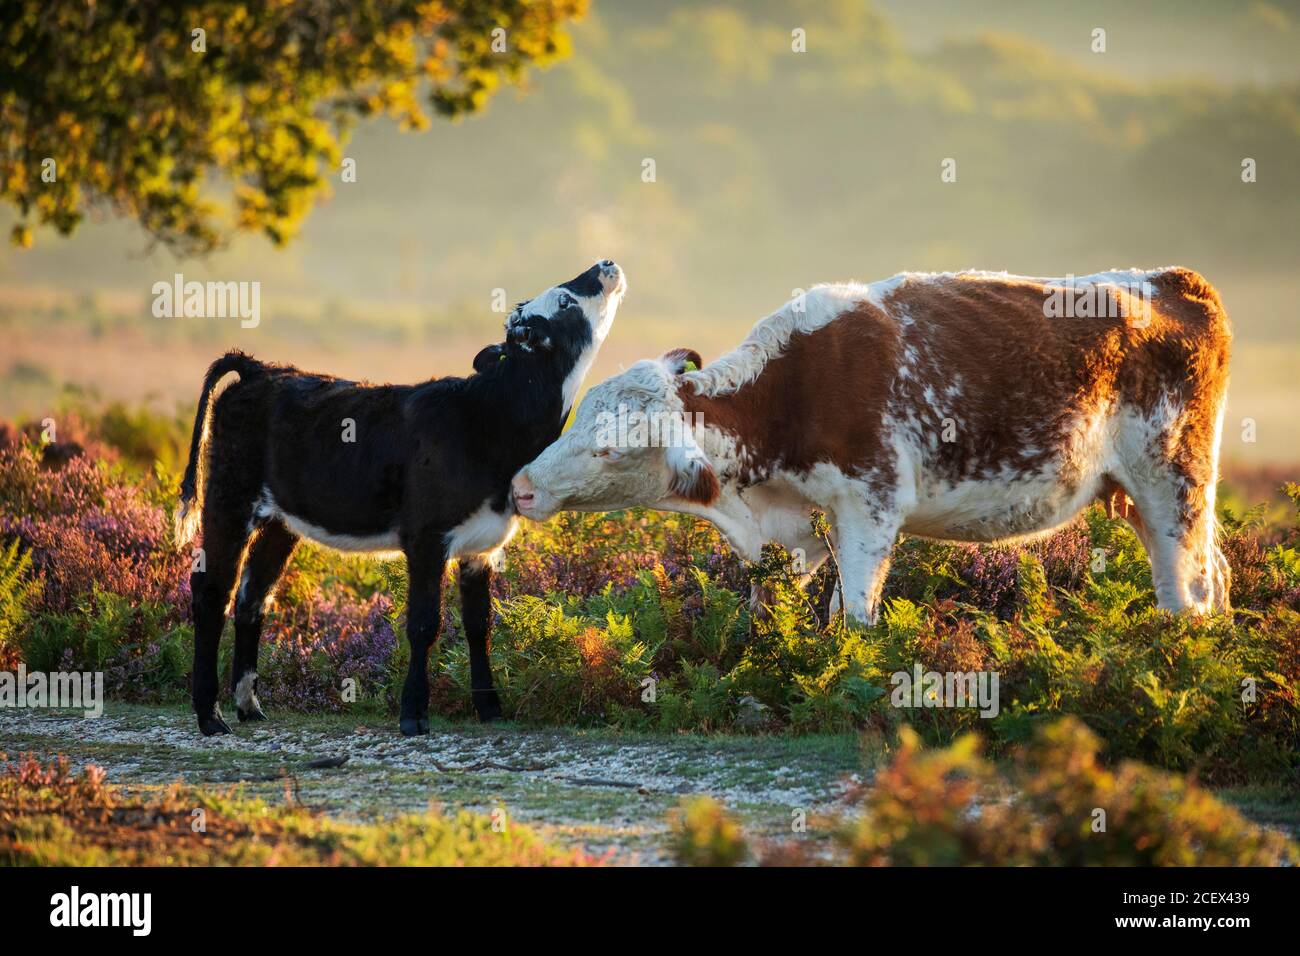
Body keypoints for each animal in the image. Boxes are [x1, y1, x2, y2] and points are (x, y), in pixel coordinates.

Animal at [175, 260, 626, 736]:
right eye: (565, 300)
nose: (605, 264)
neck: (489, 416)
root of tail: (262, 369)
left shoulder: (482, 545)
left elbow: (479, 624)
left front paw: (489, 707)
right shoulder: (426, 536)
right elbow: (424, 623)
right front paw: (413, 713)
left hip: (281, 520)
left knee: (253, 597)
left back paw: (249, 705)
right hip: (229, 497)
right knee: (212, 591)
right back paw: (210, 715)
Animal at [511, 267, 1232, 625]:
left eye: (610, 451)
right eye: (577, 420)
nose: (520, 487)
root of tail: (1173, 280)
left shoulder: (873, 504)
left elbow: (854, 614)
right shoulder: (794, 524)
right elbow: (772, 607)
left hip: (1173, 481)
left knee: (1188, 588)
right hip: (1140, 496)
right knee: (1213, 578)